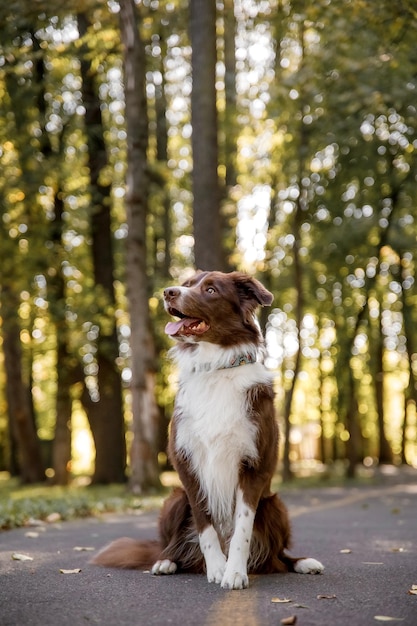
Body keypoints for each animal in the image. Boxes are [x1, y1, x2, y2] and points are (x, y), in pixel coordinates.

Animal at [92, 270, 324, 588]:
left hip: (275, 505)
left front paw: (234, 571)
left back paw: (303, 563)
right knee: (170, 545)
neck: (216, 368)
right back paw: (165, 562)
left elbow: (242, 529)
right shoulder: (188, 464)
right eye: (186, 284)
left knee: (278, 557)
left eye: (211, 290)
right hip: (174, 500)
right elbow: (205, 525)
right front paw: (217, 568)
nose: (168, 292)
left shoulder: (254, 466)